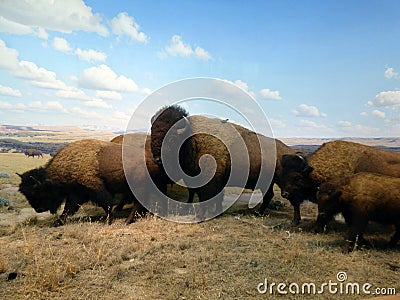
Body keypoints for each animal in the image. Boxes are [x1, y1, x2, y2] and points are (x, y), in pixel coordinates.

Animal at [17, 139, 152, 226]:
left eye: (37, 191)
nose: (38, 209)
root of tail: (148, 157)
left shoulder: (97, 189)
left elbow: (106, 205)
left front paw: (108, 221)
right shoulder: (77, 193)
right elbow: (68, 209)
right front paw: (58, 222)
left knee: (137, 203)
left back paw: (128, 220)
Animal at [151, 105, 304, 218]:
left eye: (171, 139)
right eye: (152, 134)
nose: (157, 159)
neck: (191, 139)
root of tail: (290, 151)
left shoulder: (209, 180)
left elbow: (205, 197)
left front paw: (201, 215)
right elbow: (198, 194)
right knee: (269, 195)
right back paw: (259, 213)